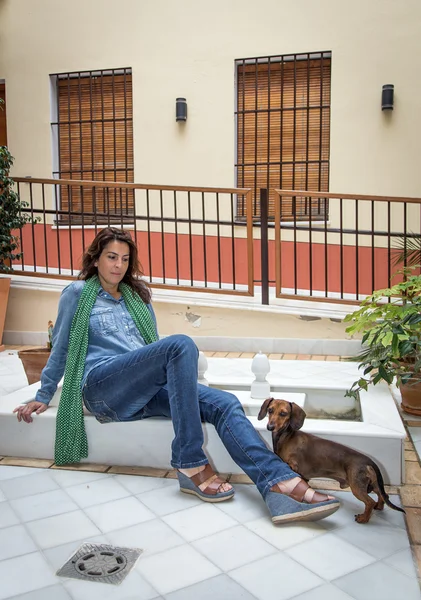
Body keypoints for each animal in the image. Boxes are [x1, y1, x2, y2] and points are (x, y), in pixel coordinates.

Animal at [258, 396, 406, 524]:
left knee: (370, 502)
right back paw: (379, 507)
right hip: (373, 484)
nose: (270, 427)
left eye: (283, 413)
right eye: (270, 410)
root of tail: (369, 462)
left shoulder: (292, 466)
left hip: (357, 487)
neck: (287, 436)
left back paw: (363, 518)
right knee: (383, 495)